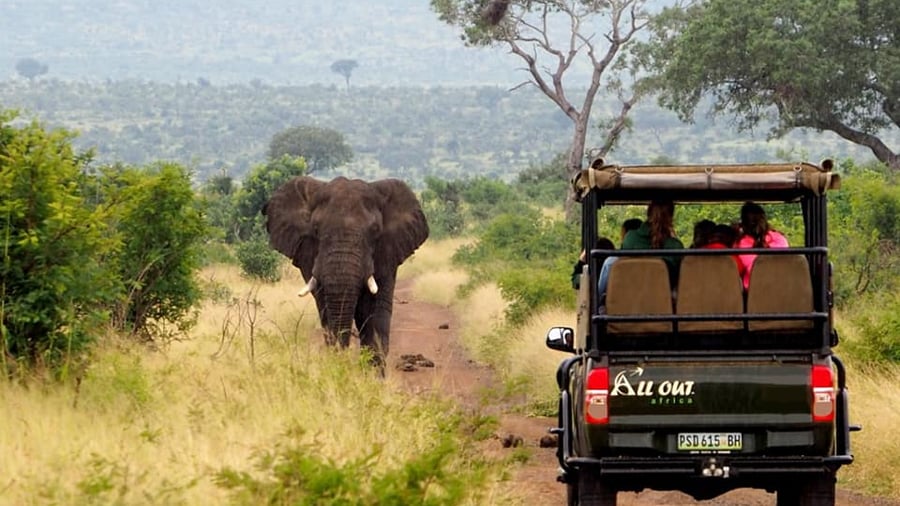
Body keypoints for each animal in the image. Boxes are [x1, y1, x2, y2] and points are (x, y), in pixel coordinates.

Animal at [262, 176, 429, 372]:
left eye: (375, 230)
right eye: (316, 229)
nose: (342, 363)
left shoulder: (388, 252)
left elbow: (375, 312)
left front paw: (372, 377)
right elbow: (326, 309)